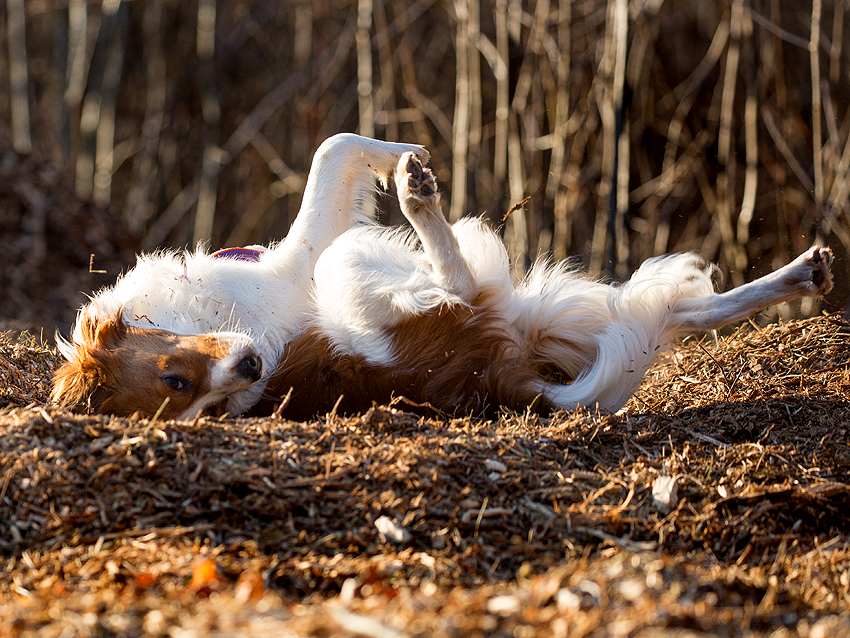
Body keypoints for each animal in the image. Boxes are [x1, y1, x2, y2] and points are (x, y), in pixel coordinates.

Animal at [54, 134, 836, 422]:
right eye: (181, 390)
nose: (251, 368)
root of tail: (499, 381)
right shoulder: (307, 256)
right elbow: (332, 152)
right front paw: (409, 166)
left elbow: (335, 148)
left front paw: (397, 148)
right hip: (358, 274)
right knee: (461, 281)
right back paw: (420, 201)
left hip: (556, 312)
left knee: (686, 313)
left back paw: (803, 273)